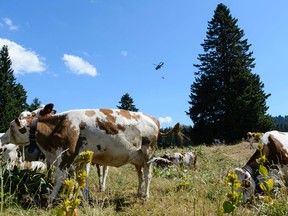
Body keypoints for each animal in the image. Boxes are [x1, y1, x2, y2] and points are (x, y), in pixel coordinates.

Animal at [0, 108, 180, 204]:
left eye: (11, 126)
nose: (2, 137)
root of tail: (153, 119)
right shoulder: (77, 159)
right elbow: (78, 180)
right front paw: (79, 198)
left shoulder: (66, 155)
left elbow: (60, 179)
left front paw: (50, 201)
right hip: (138, 159)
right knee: (140, 175)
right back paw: (139, 193)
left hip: (148, 154)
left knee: (148, 176)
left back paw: (146, 197)